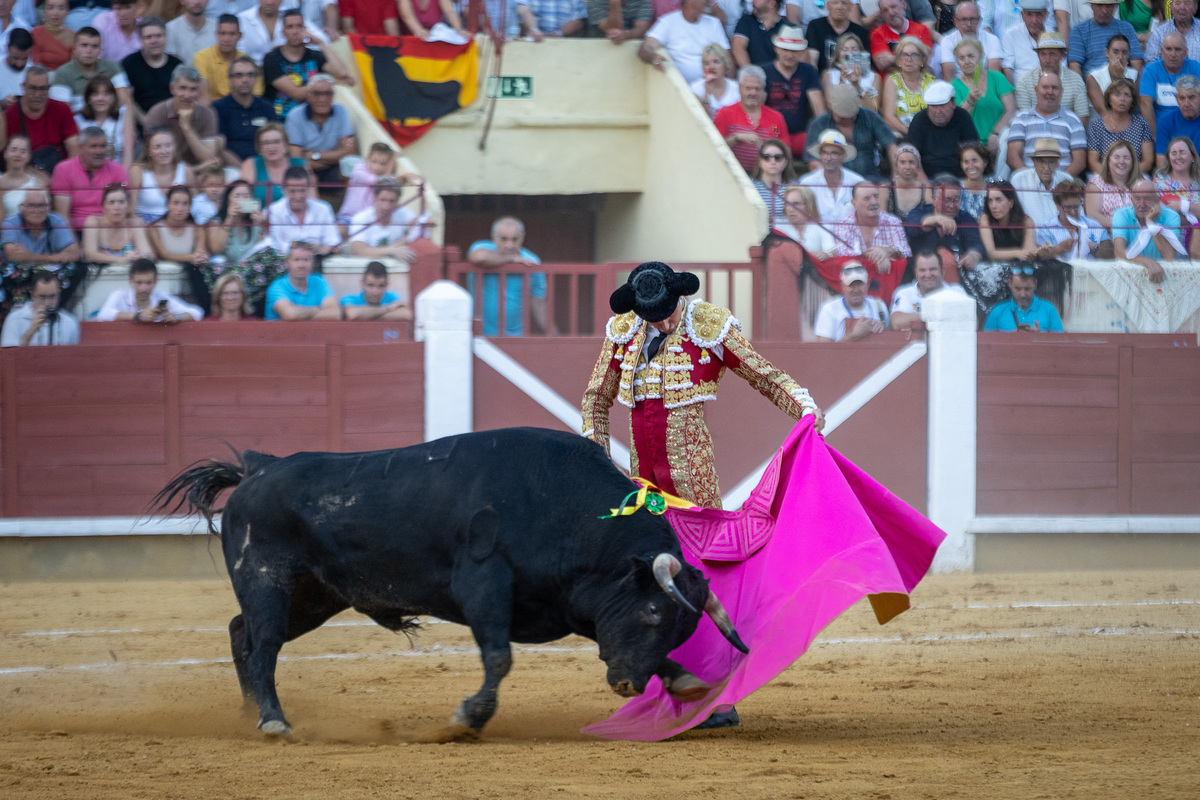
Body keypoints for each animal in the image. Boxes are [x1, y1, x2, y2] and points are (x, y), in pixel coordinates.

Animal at [154, 424, 744, 738]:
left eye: (681, 628)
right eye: (653, 612)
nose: (627, 685)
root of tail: (258, 467)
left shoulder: (571, 603)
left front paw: (684, 680)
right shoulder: (484, 585)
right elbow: (499, 657)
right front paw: (468, 718)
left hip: (316, 595)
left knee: (242, 633)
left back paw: (250, 714)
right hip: (267, 577)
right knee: (263, 645)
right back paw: (274, 721)